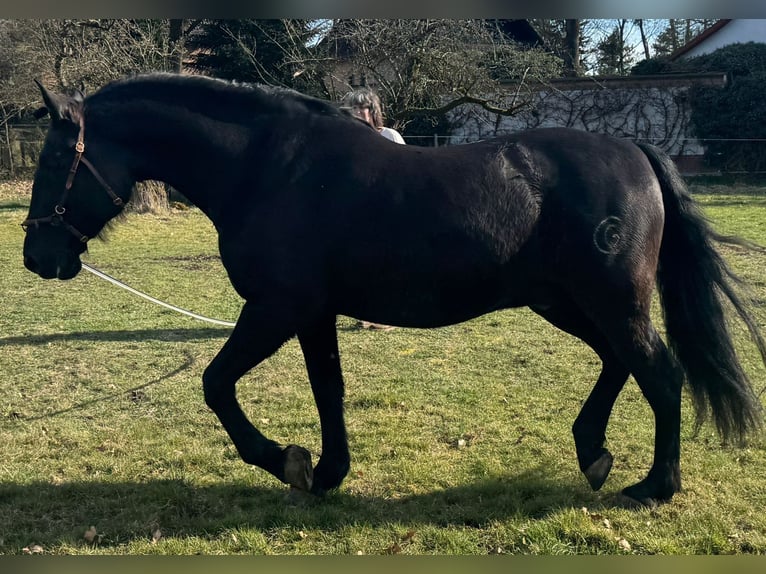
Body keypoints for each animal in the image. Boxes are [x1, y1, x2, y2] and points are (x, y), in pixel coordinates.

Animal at [22, 72, 766, 508]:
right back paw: (594, 454)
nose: (36, 257)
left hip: (611, 301)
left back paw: (656, 486)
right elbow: (328, 390)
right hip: (565, 302)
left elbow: (216, 384)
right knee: (620, 364)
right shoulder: (313, 314)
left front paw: (284, 460)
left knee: (661, 374)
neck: (267, 167)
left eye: (57, 157)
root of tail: (637, 152)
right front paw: (326, 472)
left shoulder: (277, 308)